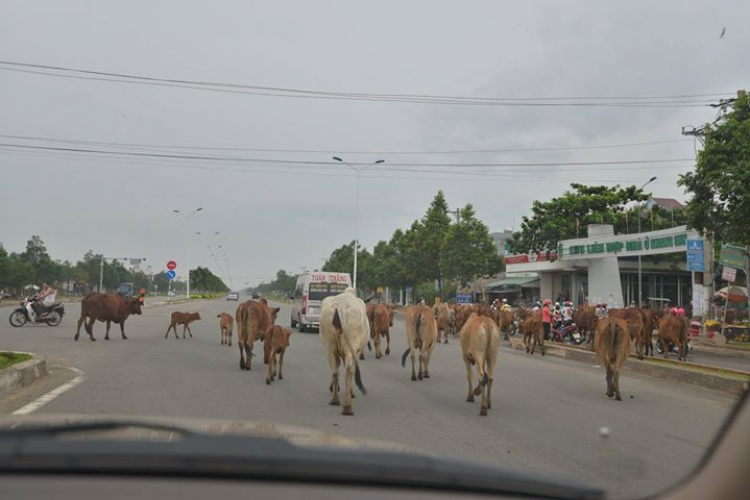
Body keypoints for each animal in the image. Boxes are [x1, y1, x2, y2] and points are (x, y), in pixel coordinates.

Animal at [320, 288, 370, 416]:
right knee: (349, 370)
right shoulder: (357, 351)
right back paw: (347, 406)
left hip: (330, 346)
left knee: (335, 370)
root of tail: (342, 305)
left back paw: (335, 399)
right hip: (351, 344)